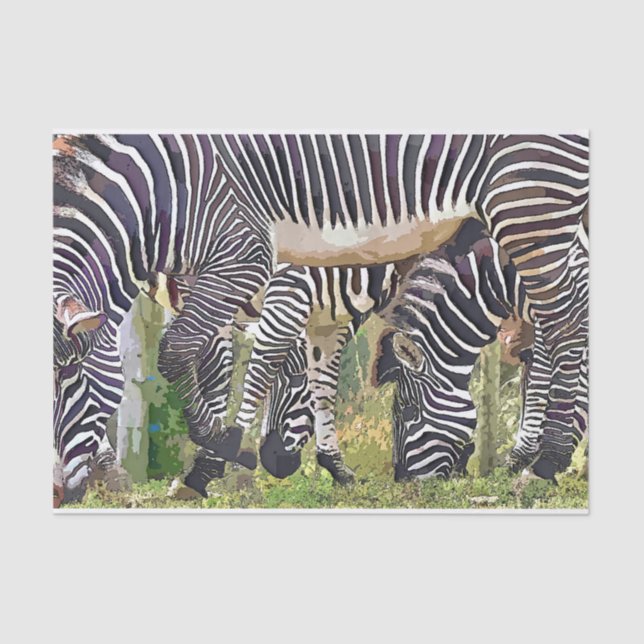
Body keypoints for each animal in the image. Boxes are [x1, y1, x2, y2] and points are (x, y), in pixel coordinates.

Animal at [53, 134, 588, 501]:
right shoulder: (291, 289)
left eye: (407, 413)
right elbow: (267, 363)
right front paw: (230, 462)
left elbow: (317, 380)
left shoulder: (322, 311)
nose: (409, 484)